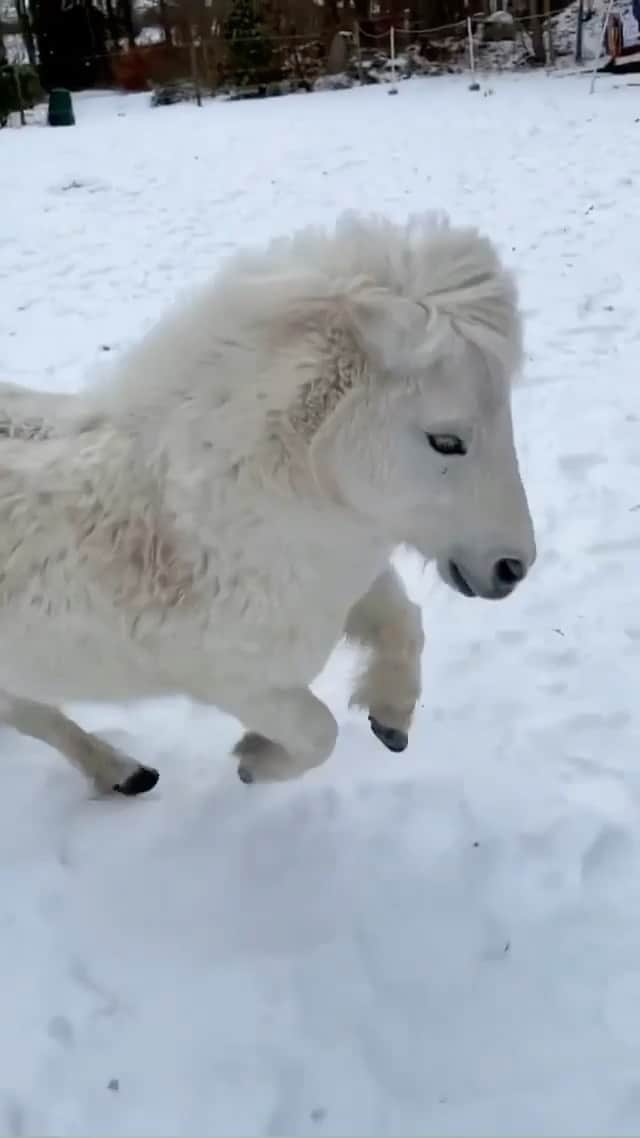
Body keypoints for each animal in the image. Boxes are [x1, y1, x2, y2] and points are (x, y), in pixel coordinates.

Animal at [0, 217, 532, 796]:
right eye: (446, 441)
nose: (513, 567)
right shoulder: (238, 683)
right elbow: (319, 734)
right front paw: (256, 760)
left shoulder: (354, 583)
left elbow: (404, 623)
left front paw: (390, 720)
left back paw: (125, 773)